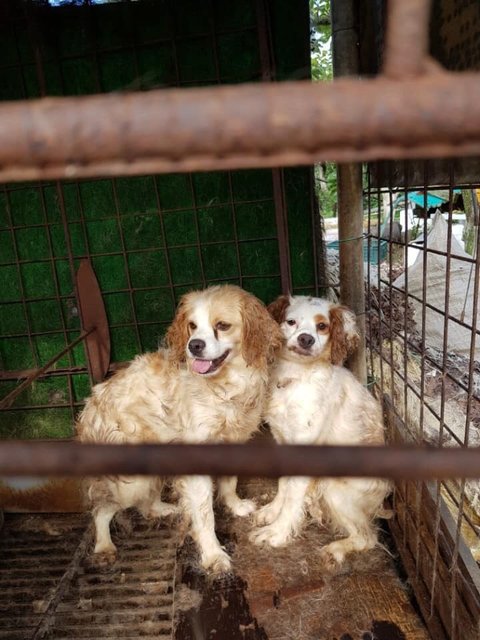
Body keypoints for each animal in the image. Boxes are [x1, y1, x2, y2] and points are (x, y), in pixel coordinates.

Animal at [77, 285, 283, 572]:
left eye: (222, 325)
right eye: (192, 326)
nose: (194, 345)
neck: (225, 386)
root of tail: (88, 410)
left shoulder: (232, 443)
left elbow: (229, 483)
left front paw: (235, 506)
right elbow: (205, 516)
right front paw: (213, 555)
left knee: (147, 506)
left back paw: (167, 509)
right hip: (129, 481)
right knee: (102, 509)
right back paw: (104, 546)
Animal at [249, 294, 391, 568]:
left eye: (322, 326)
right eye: (291, 321)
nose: (306, 339)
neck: (296, 377)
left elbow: (292, 499)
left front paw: (277, 533)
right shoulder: (283, 441)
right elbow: (284, 485)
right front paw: (272, 510)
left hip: (335, 489)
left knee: (367, 536)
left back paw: (335, 550)